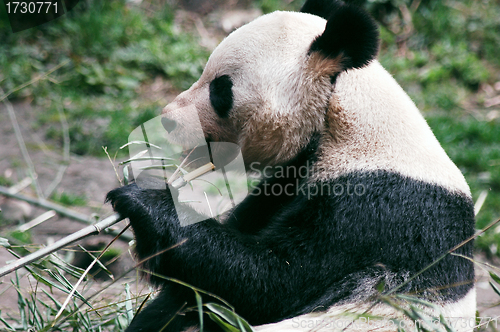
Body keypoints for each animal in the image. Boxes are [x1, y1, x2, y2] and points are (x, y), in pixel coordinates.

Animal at [106, 0, 476, 330]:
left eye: (221, 89)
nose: (168, 119)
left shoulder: (377, 209)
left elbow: (272, 281)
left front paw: (144, 200)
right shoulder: (289, 180)